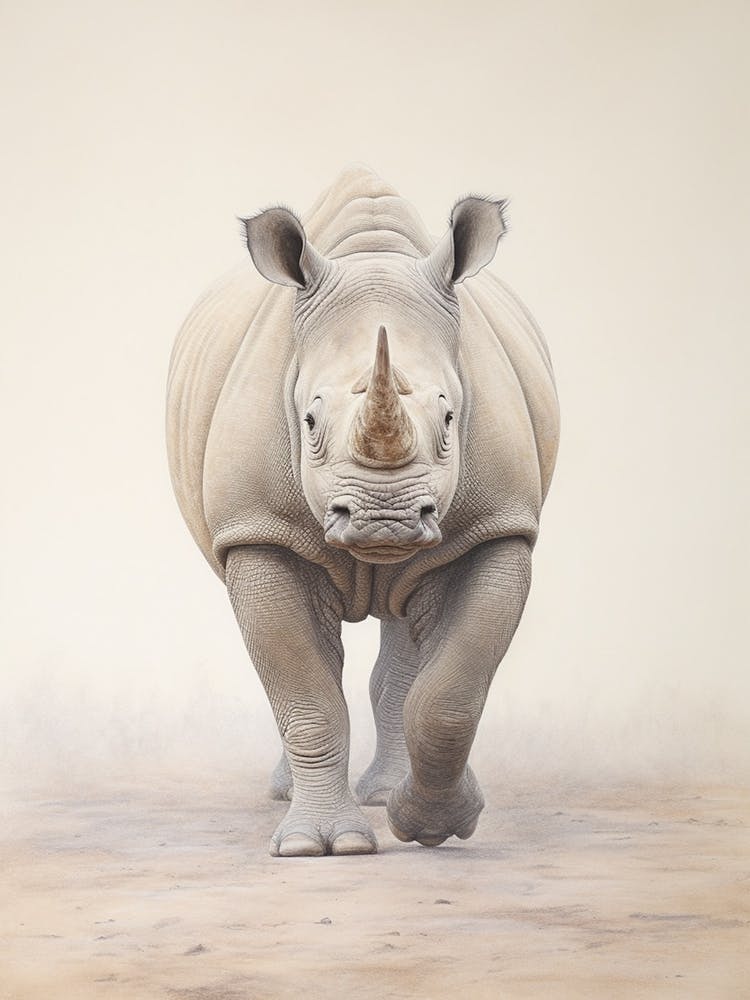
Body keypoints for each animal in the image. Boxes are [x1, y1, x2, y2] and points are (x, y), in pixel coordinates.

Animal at [166, 166, 559, 857]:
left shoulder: (496, 527)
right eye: (309, 421)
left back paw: (386, 796)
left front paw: (433, 825)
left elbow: (452, 693)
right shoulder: (259, 531)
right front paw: (319, 848)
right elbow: (304, 690)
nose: (385, 519)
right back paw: (290, 796)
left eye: (450, 419)